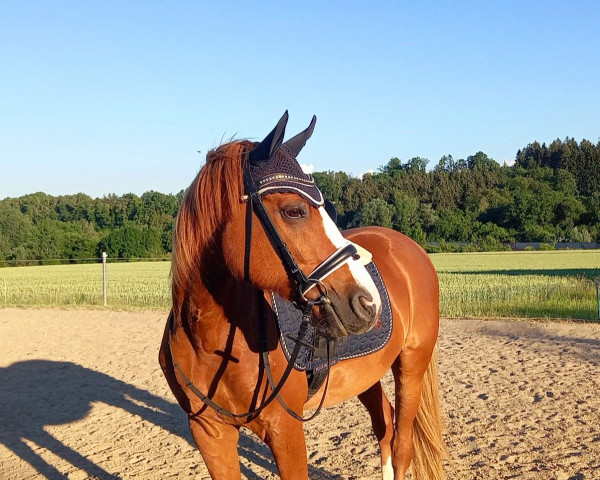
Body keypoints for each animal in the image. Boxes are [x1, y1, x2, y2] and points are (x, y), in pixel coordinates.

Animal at [159, 113, 446, 480]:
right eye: (294, 210)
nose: (369, 302)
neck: (209, 341)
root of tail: (411, 247)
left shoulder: (285, 431)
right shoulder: (209, 434)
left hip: (411, 364)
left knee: (402, 445)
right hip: (367, 375)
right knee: (385, 427)